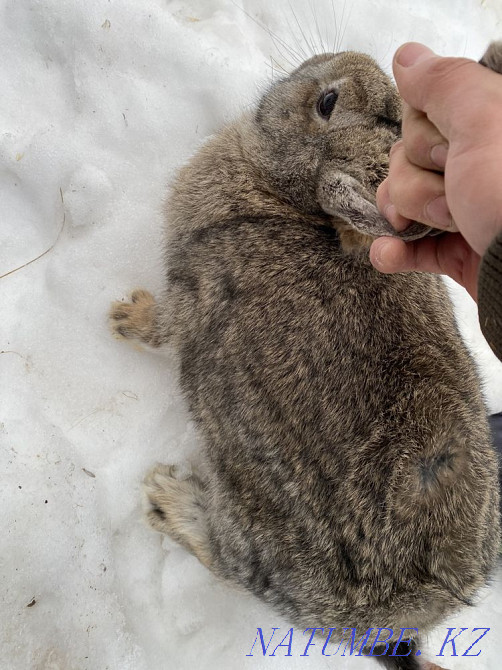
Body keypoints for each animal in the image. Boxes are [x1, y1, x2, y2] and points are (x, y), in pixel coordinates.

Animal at [110, 43, 502, 670]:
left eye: (326, 103)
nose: (355, 56)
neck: (287, 202)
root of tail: (397, 622)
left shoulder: (194, 292)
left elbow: (163, 328)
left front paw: (125, 317)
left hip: (258, 537)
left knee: (227, 559)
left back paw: (168, 500)